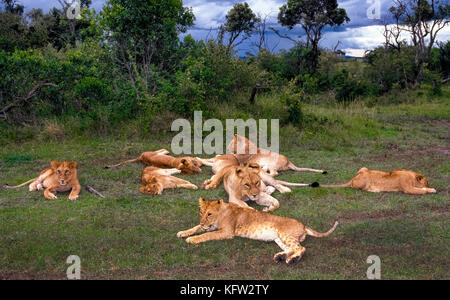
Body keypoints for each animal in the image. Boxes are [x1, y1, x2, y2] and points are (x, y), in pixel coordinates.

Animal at [178, 198, 340, 264]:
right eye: (201, 212)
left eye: (209, 214)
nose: (203, 221)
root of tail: (303, 224)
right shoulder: (210, 226)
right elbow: (197, 228)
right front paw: (183, 232)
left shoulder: (227, 232)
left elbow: (207, 234)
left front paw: (192, 239)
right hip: (279, 238)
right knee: (291, 249)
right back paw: (280, 257)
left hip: (285, 235)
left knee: (301, 248)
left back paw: (292, 260)